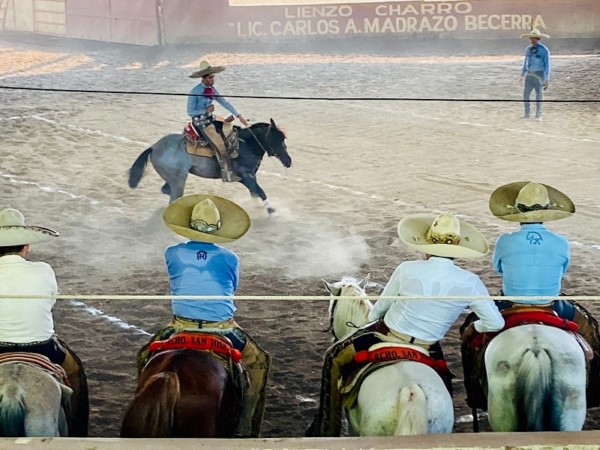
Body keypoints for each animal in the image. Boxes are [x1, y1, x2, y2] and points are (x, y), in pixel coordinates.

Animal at [127, 119, 292, 214]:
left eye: (284, 139)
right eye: (276, 140)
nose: (288, 161)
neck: (245, 145)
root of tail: (153, 147)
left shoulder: (250, 177)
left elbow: (255, 192)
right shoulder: (245, 176)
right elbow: (261, 192)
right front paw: (271, 210)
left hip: (175, 178)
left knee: (166, 190)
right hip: (179, 179)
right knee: (173, 196)